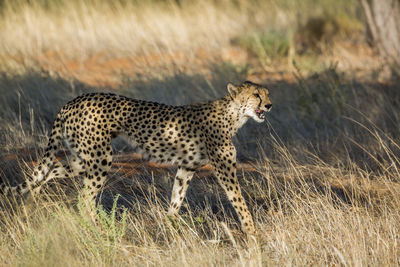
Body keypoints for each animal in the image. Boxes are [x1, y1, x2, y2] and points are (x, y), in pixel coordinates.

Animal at [1, 81, 272, 234]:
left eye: (267, 94)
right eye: (256, 95)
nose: (269, 105)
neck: (234, 114)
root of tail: (73, 100)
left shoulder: (187, 167)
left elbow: (177, 198)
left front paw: (169, 225)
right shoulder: (223, 168)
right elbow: (239, 200)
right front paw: (252, 233)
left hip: (81, 157)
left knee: (50, 169)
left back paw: (31, 201)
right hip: (100, 158)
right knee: (84, 198)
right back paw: (99, 230)